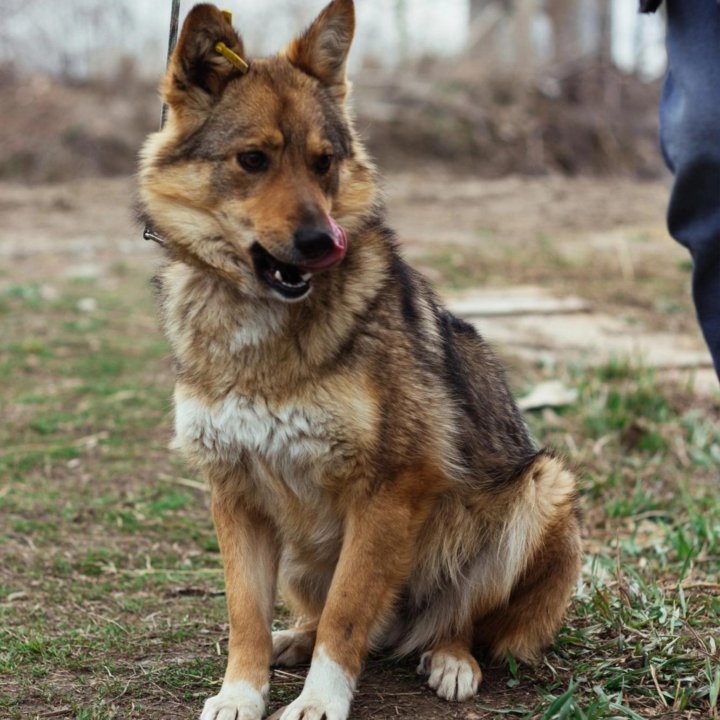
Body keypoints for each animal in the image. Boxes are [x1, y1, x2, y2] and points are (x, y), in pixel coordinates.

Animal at [138, 2, 584, 716]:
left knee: (456, 616)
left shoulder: (391, 488)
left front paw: (320, 702)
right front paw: (240, 691)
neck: (261, 325)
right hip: (302, 553)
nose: (323, 242)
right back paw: (295, 637)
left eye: (323, 164)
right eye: (253, 160)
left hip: (540, 491)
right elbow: (244, 612)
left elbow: (349, 612)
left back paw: (450, 658)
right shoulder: (233, 490)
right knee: (329, 618)